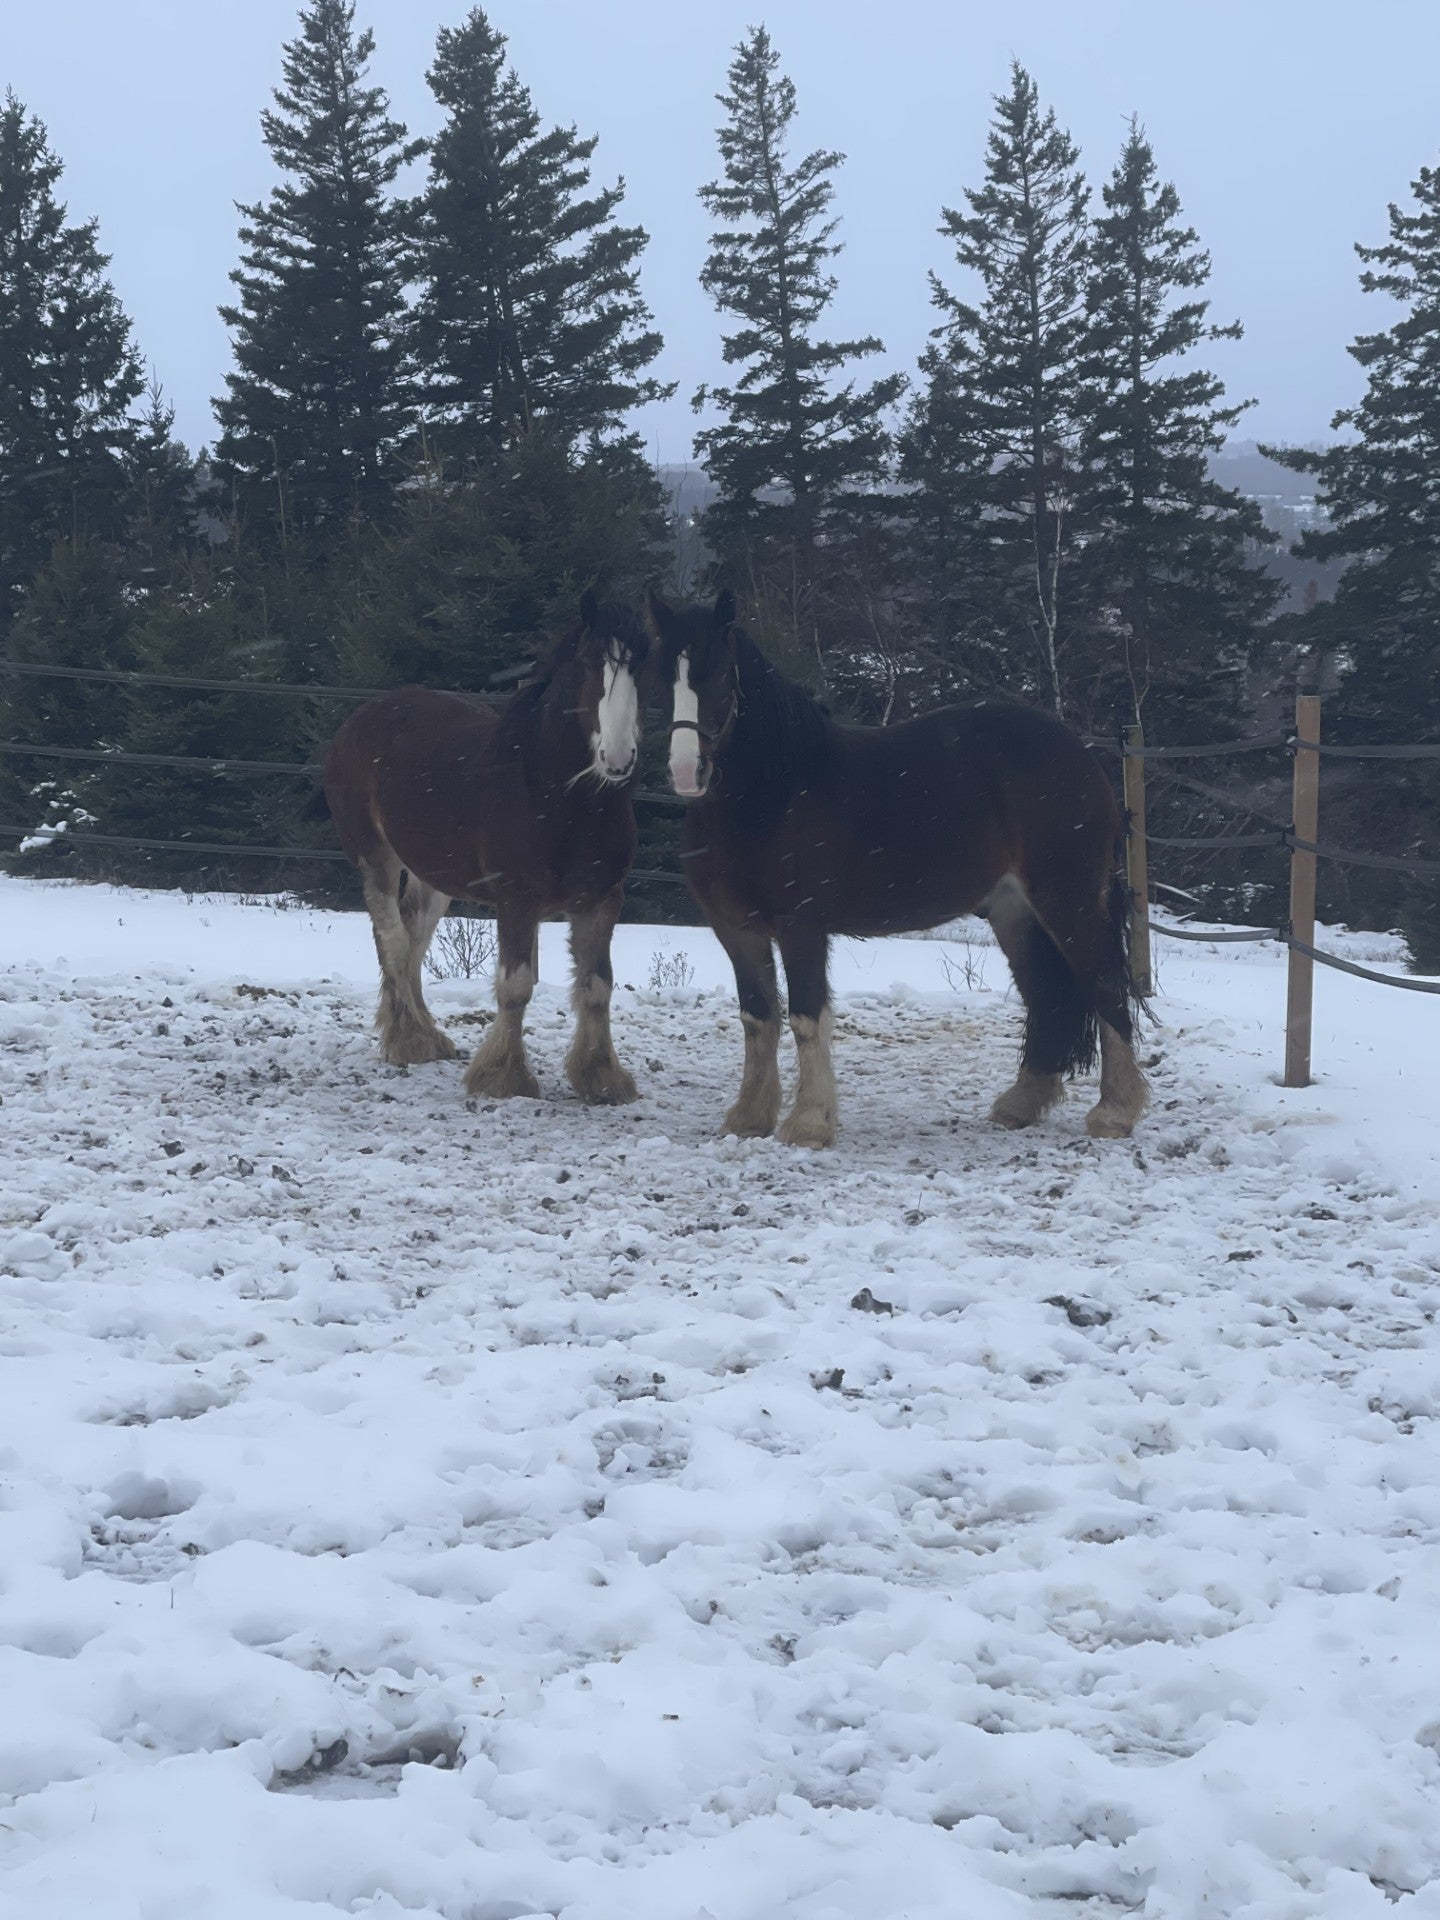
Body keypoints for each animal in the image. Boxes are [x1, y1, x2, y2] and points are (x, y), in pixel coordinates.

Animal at [326, 595, 648, 1113]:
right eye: (586, 664)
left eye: (644, 667)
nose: (617, 757)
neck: (564, 798)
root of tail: (360, 718)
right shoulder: (517, 899)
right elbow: (516, 987)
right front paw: (504, 1077)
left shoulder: (603, 899)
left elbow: (597, 987)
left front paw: (601, 1078)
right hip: (377, 859)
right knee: (392, 940)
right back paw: (409, 1040)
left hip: (432, 878)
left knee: (413, 939)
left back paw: (427, 1037)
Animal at [641, 591, 1152, 1144]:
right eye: (662, 675)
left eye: (719, 672)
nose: (687, 771)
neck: (774, 792)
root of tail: (1082, 757)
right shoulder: (736, 929)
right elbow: (758, 1017)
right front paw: (749, 1118)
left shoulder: (802, 924)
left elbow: (805, 1017)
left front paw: (809, 1124)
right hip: (1014, 912)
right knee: (1046, 997)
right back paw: (1021, 1104)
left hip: (1068, 899)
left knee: (1105, 983)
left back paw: (1115, 1112)